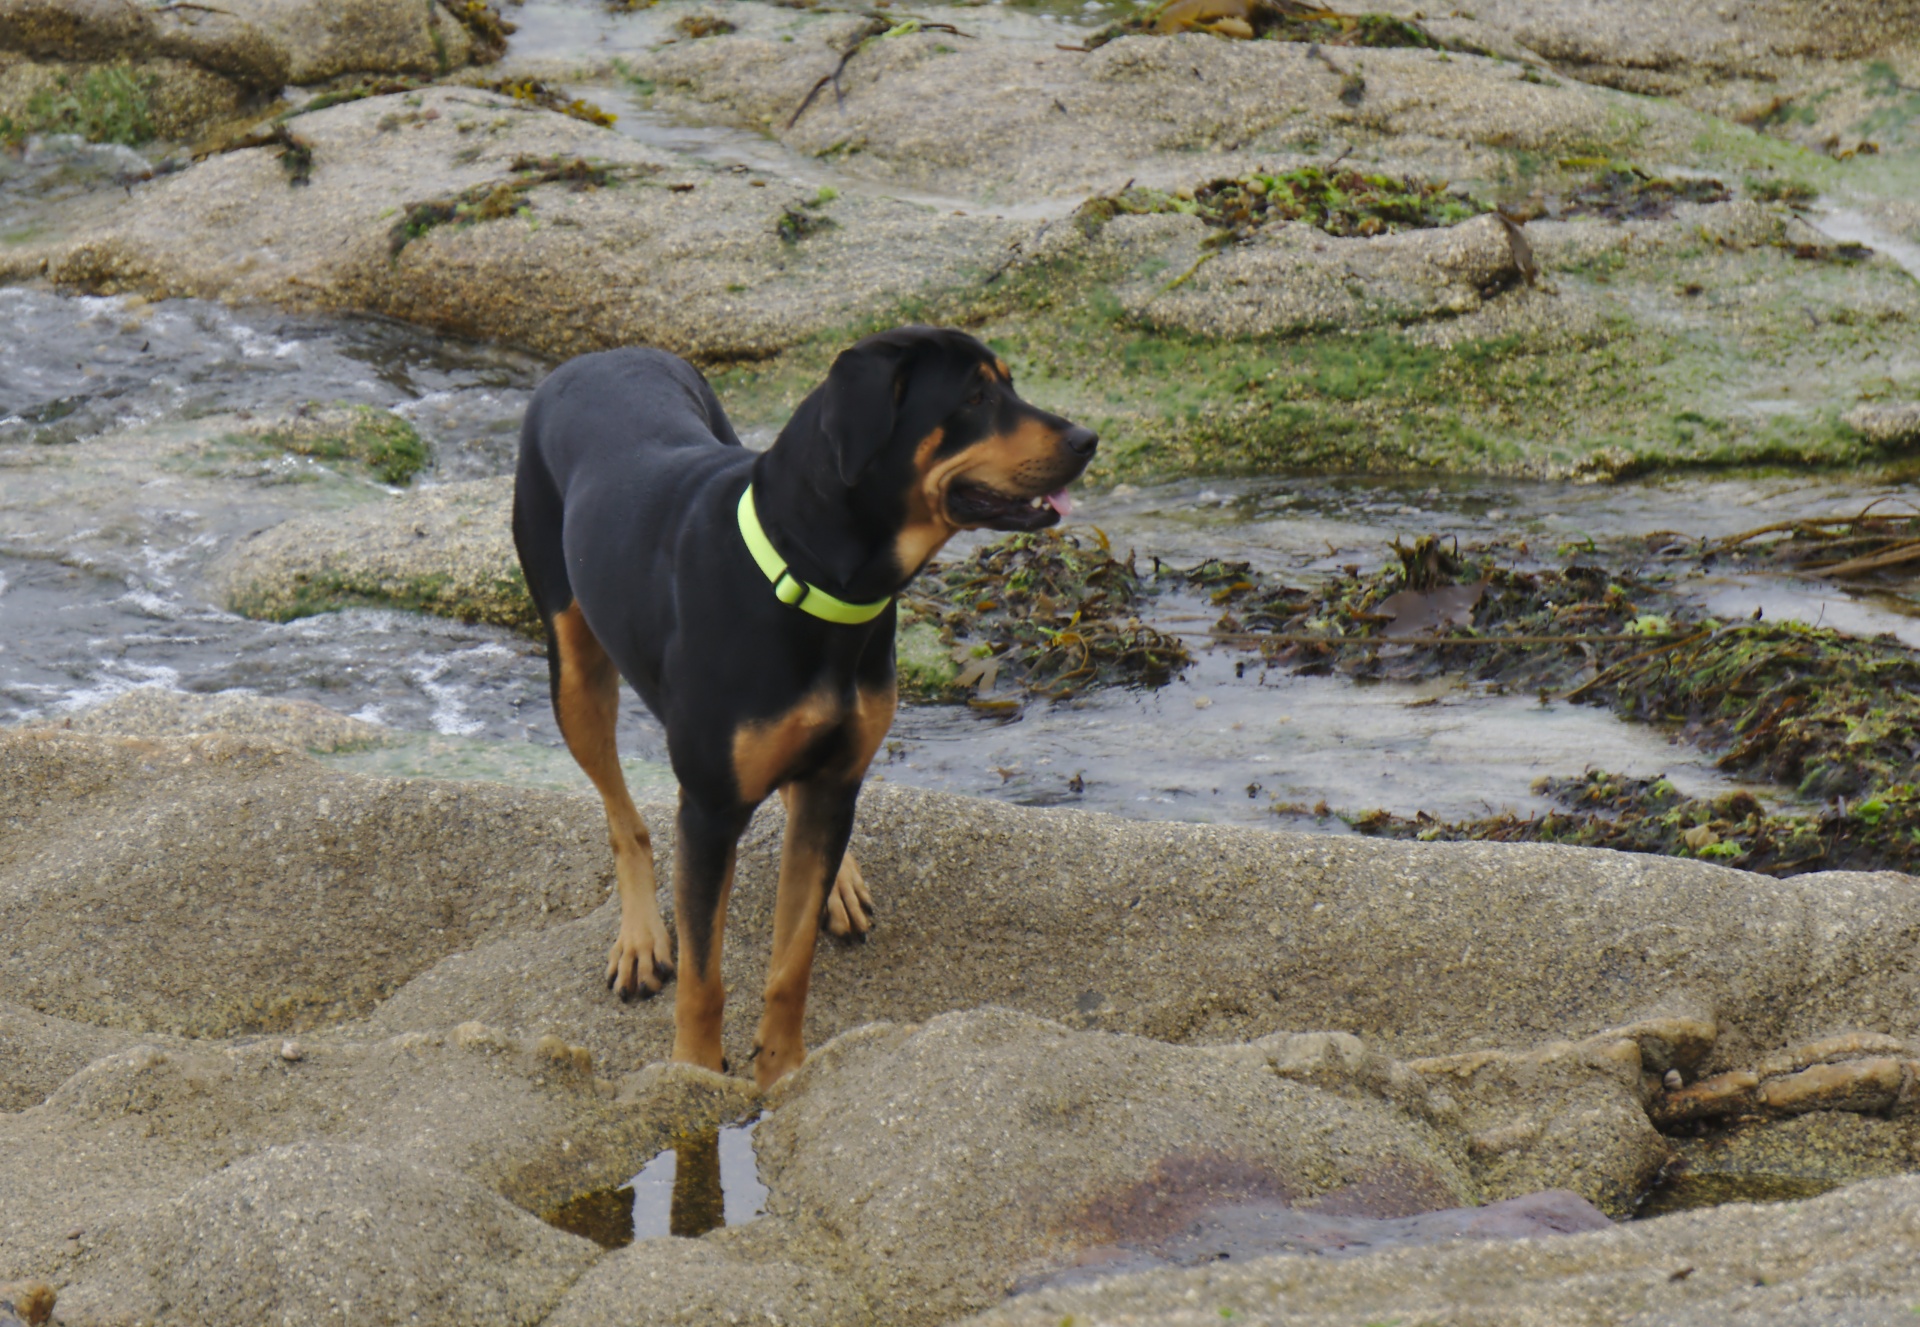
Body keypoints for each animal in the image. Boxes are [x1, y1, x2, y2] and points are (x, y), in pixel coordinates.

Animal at [514, 326, 1098, 1083]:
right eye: (974, 396)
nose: (1087, 439)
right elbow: (704, 974)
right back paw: (641, 938)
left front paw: (783, 1069)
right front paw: (695, 1074)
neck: (813, 581)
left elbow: (791, 961)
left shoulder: (834, 779)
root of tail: (599, 356)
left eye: (1010, 383)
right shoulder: (709, 811)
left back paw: (839, 883)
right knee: (622, 815)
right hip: (574, 668)